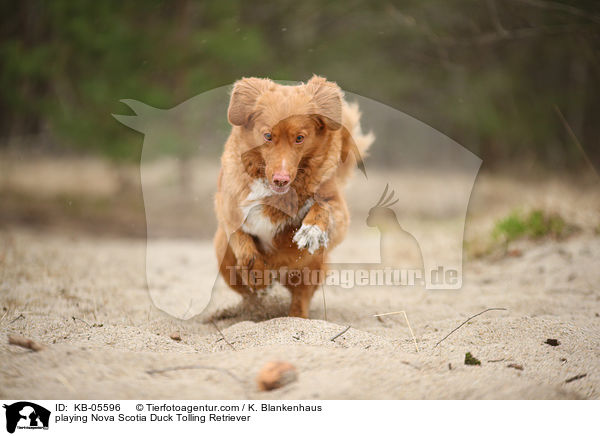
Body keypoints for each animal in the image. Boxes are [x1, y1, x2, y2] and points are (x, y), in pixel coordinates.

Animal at [213, 75, 372, 316]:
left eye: (299, 138)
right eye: (268, 136)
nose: (281, 179)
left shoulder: (337, 210)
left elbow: (322, 208)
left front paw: (312, 230)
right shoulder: (227, 206)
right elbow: (242, 240)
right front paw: (258, 273)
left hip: (311, 270)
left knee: (300, 299)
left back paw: (295, 316)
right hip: (223, 255)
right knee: (248, 293)